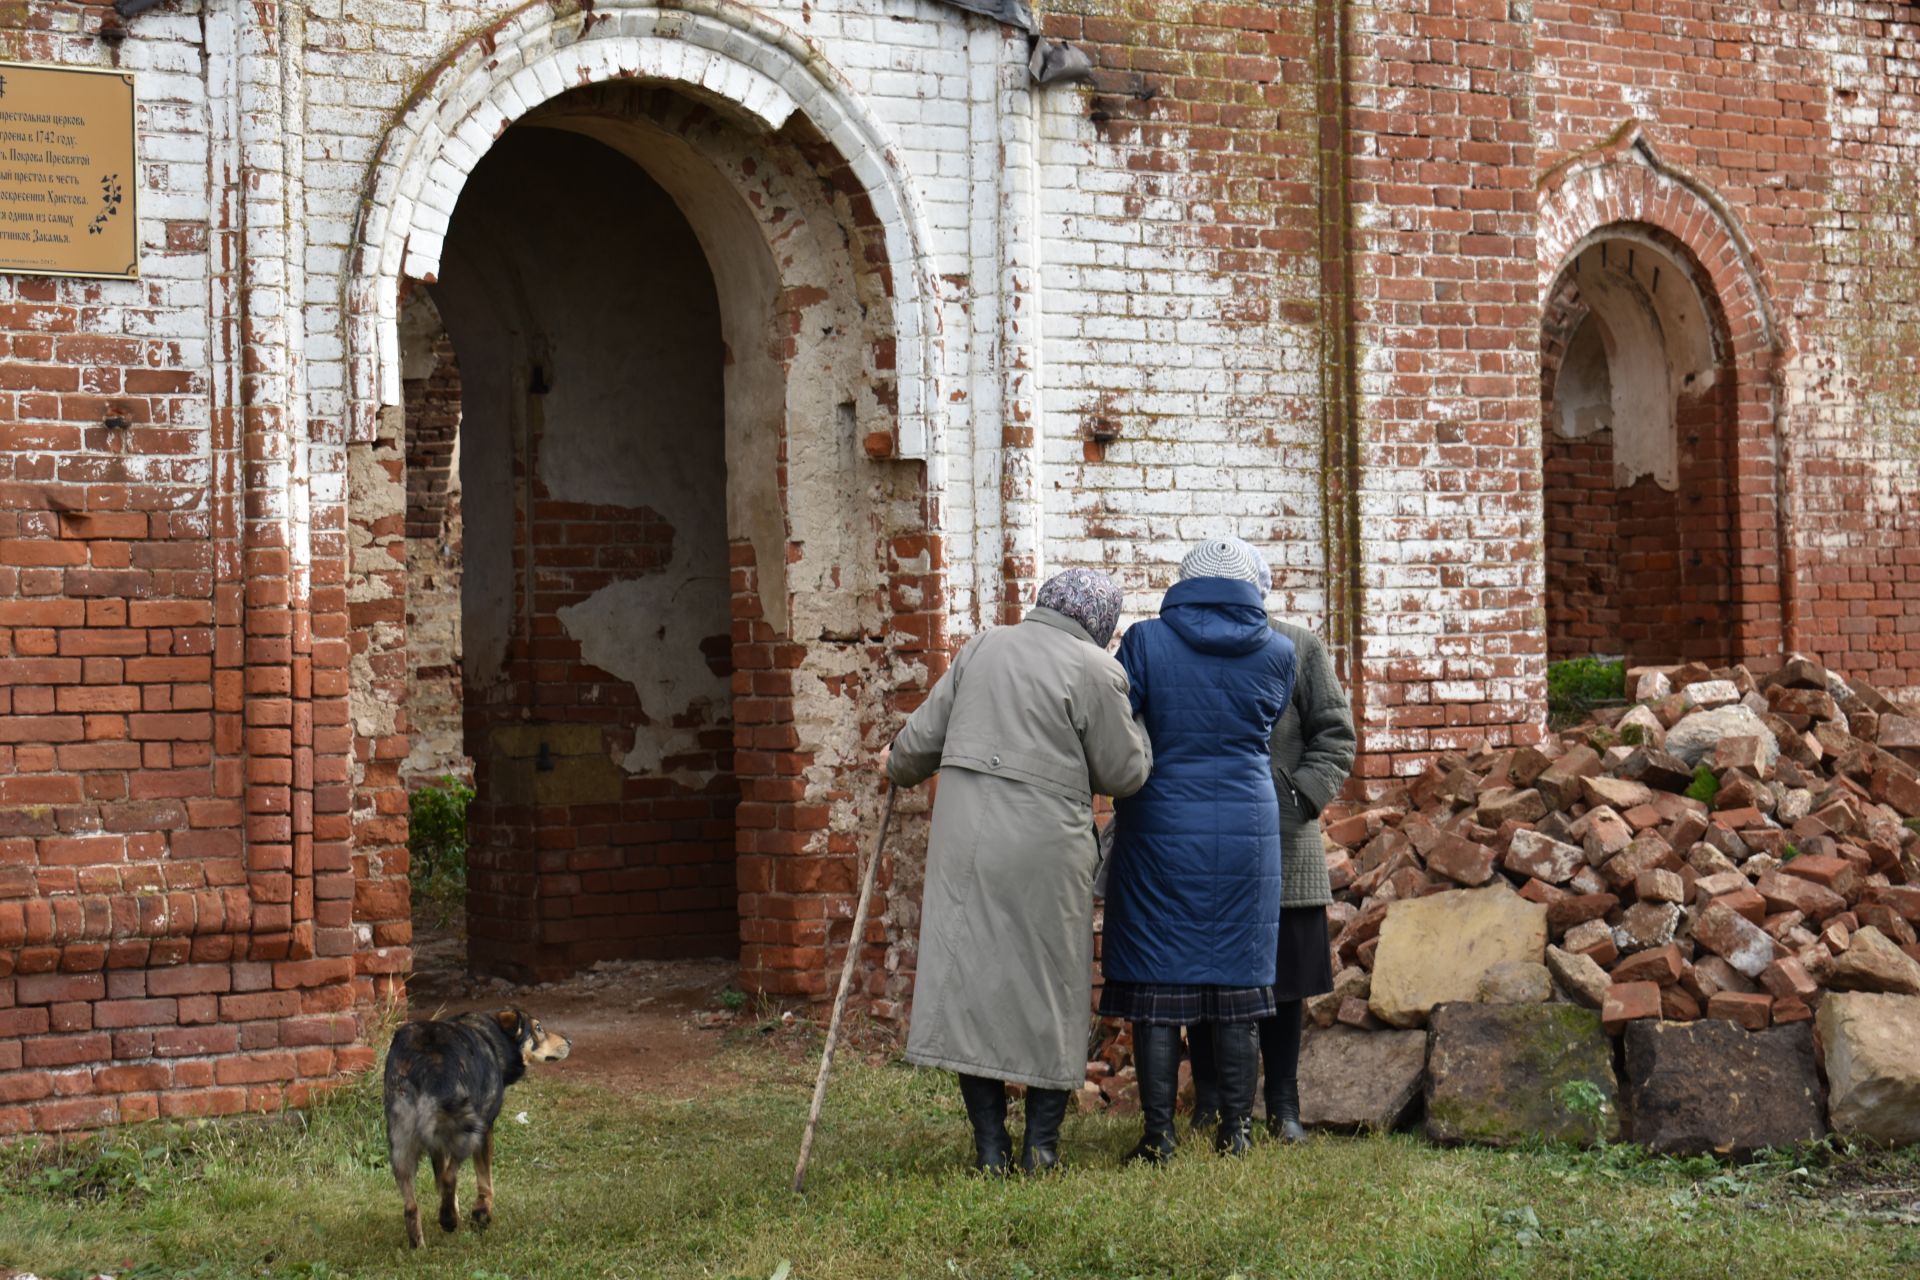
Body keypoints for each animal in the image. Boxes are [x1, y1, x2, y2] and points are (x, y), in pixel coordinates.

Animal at [382, 1005, 568, 1243]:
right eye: (538, 1028)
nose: (569, 1041)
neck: (492, 1037)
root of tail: (422, 1057)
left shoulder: (438, 1143)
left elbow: (441, 1179)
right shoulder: (485, 1127)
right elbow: (484, 1181)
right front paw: (481, 1213)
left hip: (402, 1140)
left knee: (412, 1205)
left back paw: (420, 1242)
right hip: (466, 1130)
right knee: (449, 1177)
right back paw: (448, 1220)